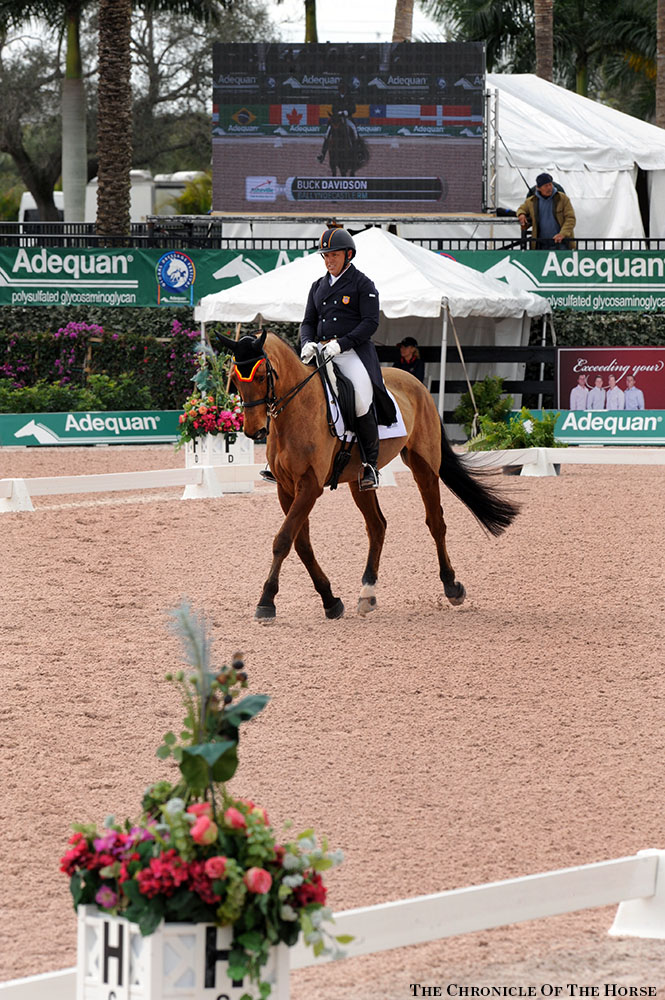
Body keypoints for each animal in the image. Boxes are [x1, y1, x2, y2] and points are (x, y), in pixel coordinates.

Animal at [218, 332, 520, 620]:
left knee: (435, 522)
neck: (298, 410)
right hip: (358, 479)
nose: (254, 431)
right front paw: (330, 601)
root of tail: (417, 383)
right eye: (234, 379)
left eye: (260, 375)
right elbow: (300, 543)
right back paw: (367, 592)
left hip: (424, 466)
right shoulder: (286, 488)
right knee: (377, 526)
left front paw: (266, 602)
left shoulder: (309, 486)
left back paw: (451, 587)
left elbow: (283, 540)